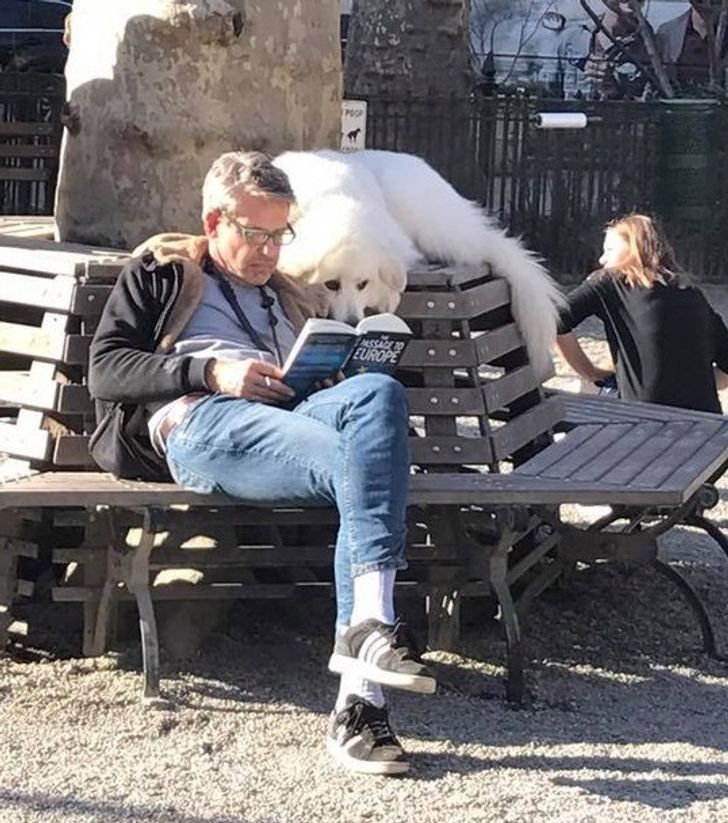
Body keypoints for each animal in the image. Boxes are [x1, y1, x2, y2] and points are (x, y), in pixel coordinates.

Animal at [274, 150, 564, 376]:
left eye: (363, 284)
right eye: (331, 284)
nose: (353, 322)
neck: (333, 201)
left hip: (430, 225)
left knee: (489, 246)